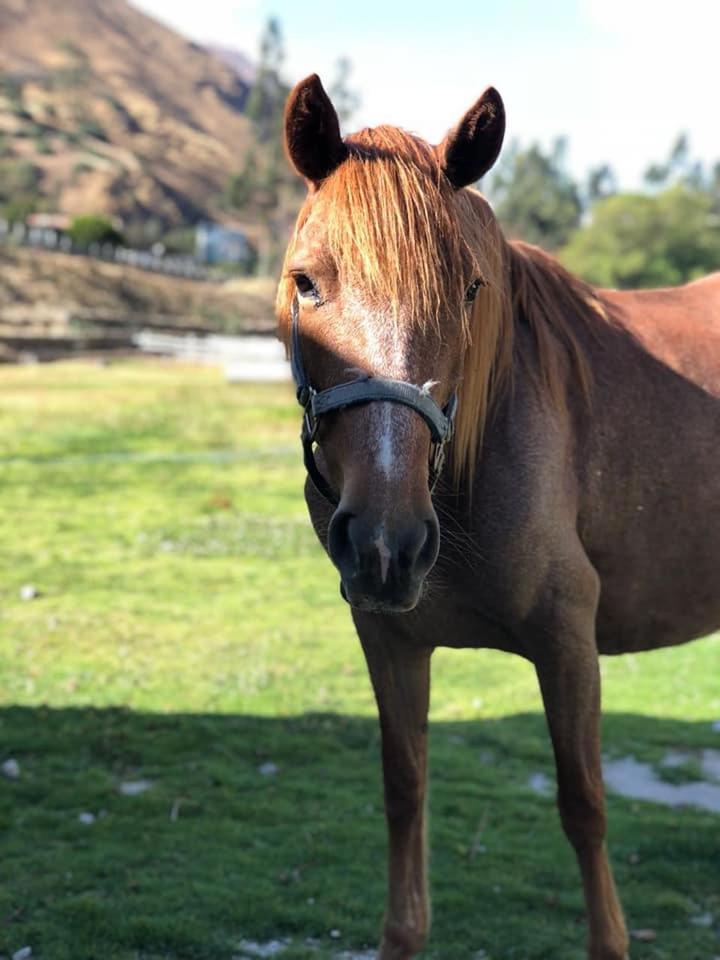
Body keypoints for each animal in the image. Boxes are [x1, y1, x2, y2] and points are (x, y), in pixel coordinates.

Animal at [274, 75, 720, 960]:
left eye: (470, 291)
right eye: (306, 281)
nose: (387, 545)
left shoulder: (569, 641)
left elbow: (584, 805)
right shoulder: (389, 638)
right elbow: (404, 792)